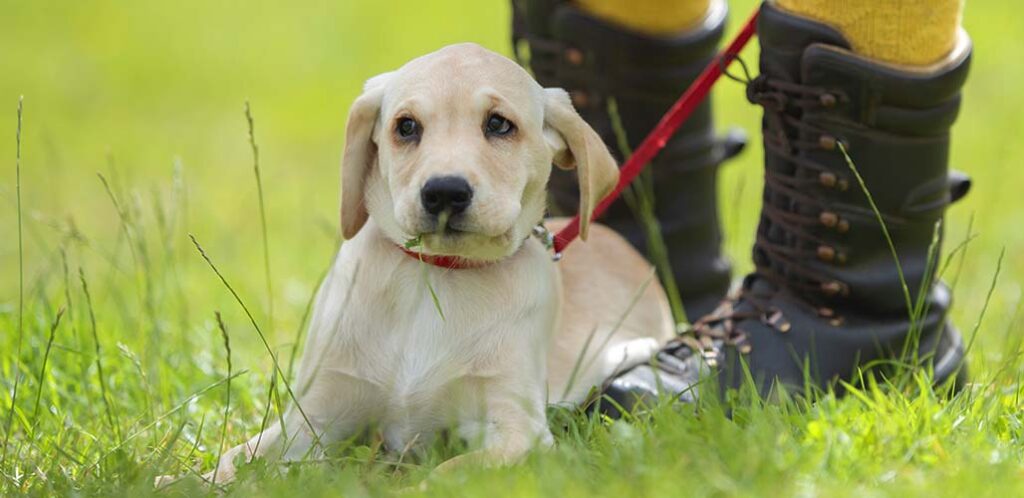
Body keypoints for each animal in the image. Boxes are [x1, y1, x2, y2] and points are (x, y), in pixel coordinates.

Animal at [193, 41, 671, 481]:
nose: (444, 192)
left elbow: (445, 474)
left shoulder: (518, 431)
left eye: (499, 124)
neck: (436, 275)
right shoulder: (310, 417)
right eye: (406, 126)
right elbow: (231, 462)